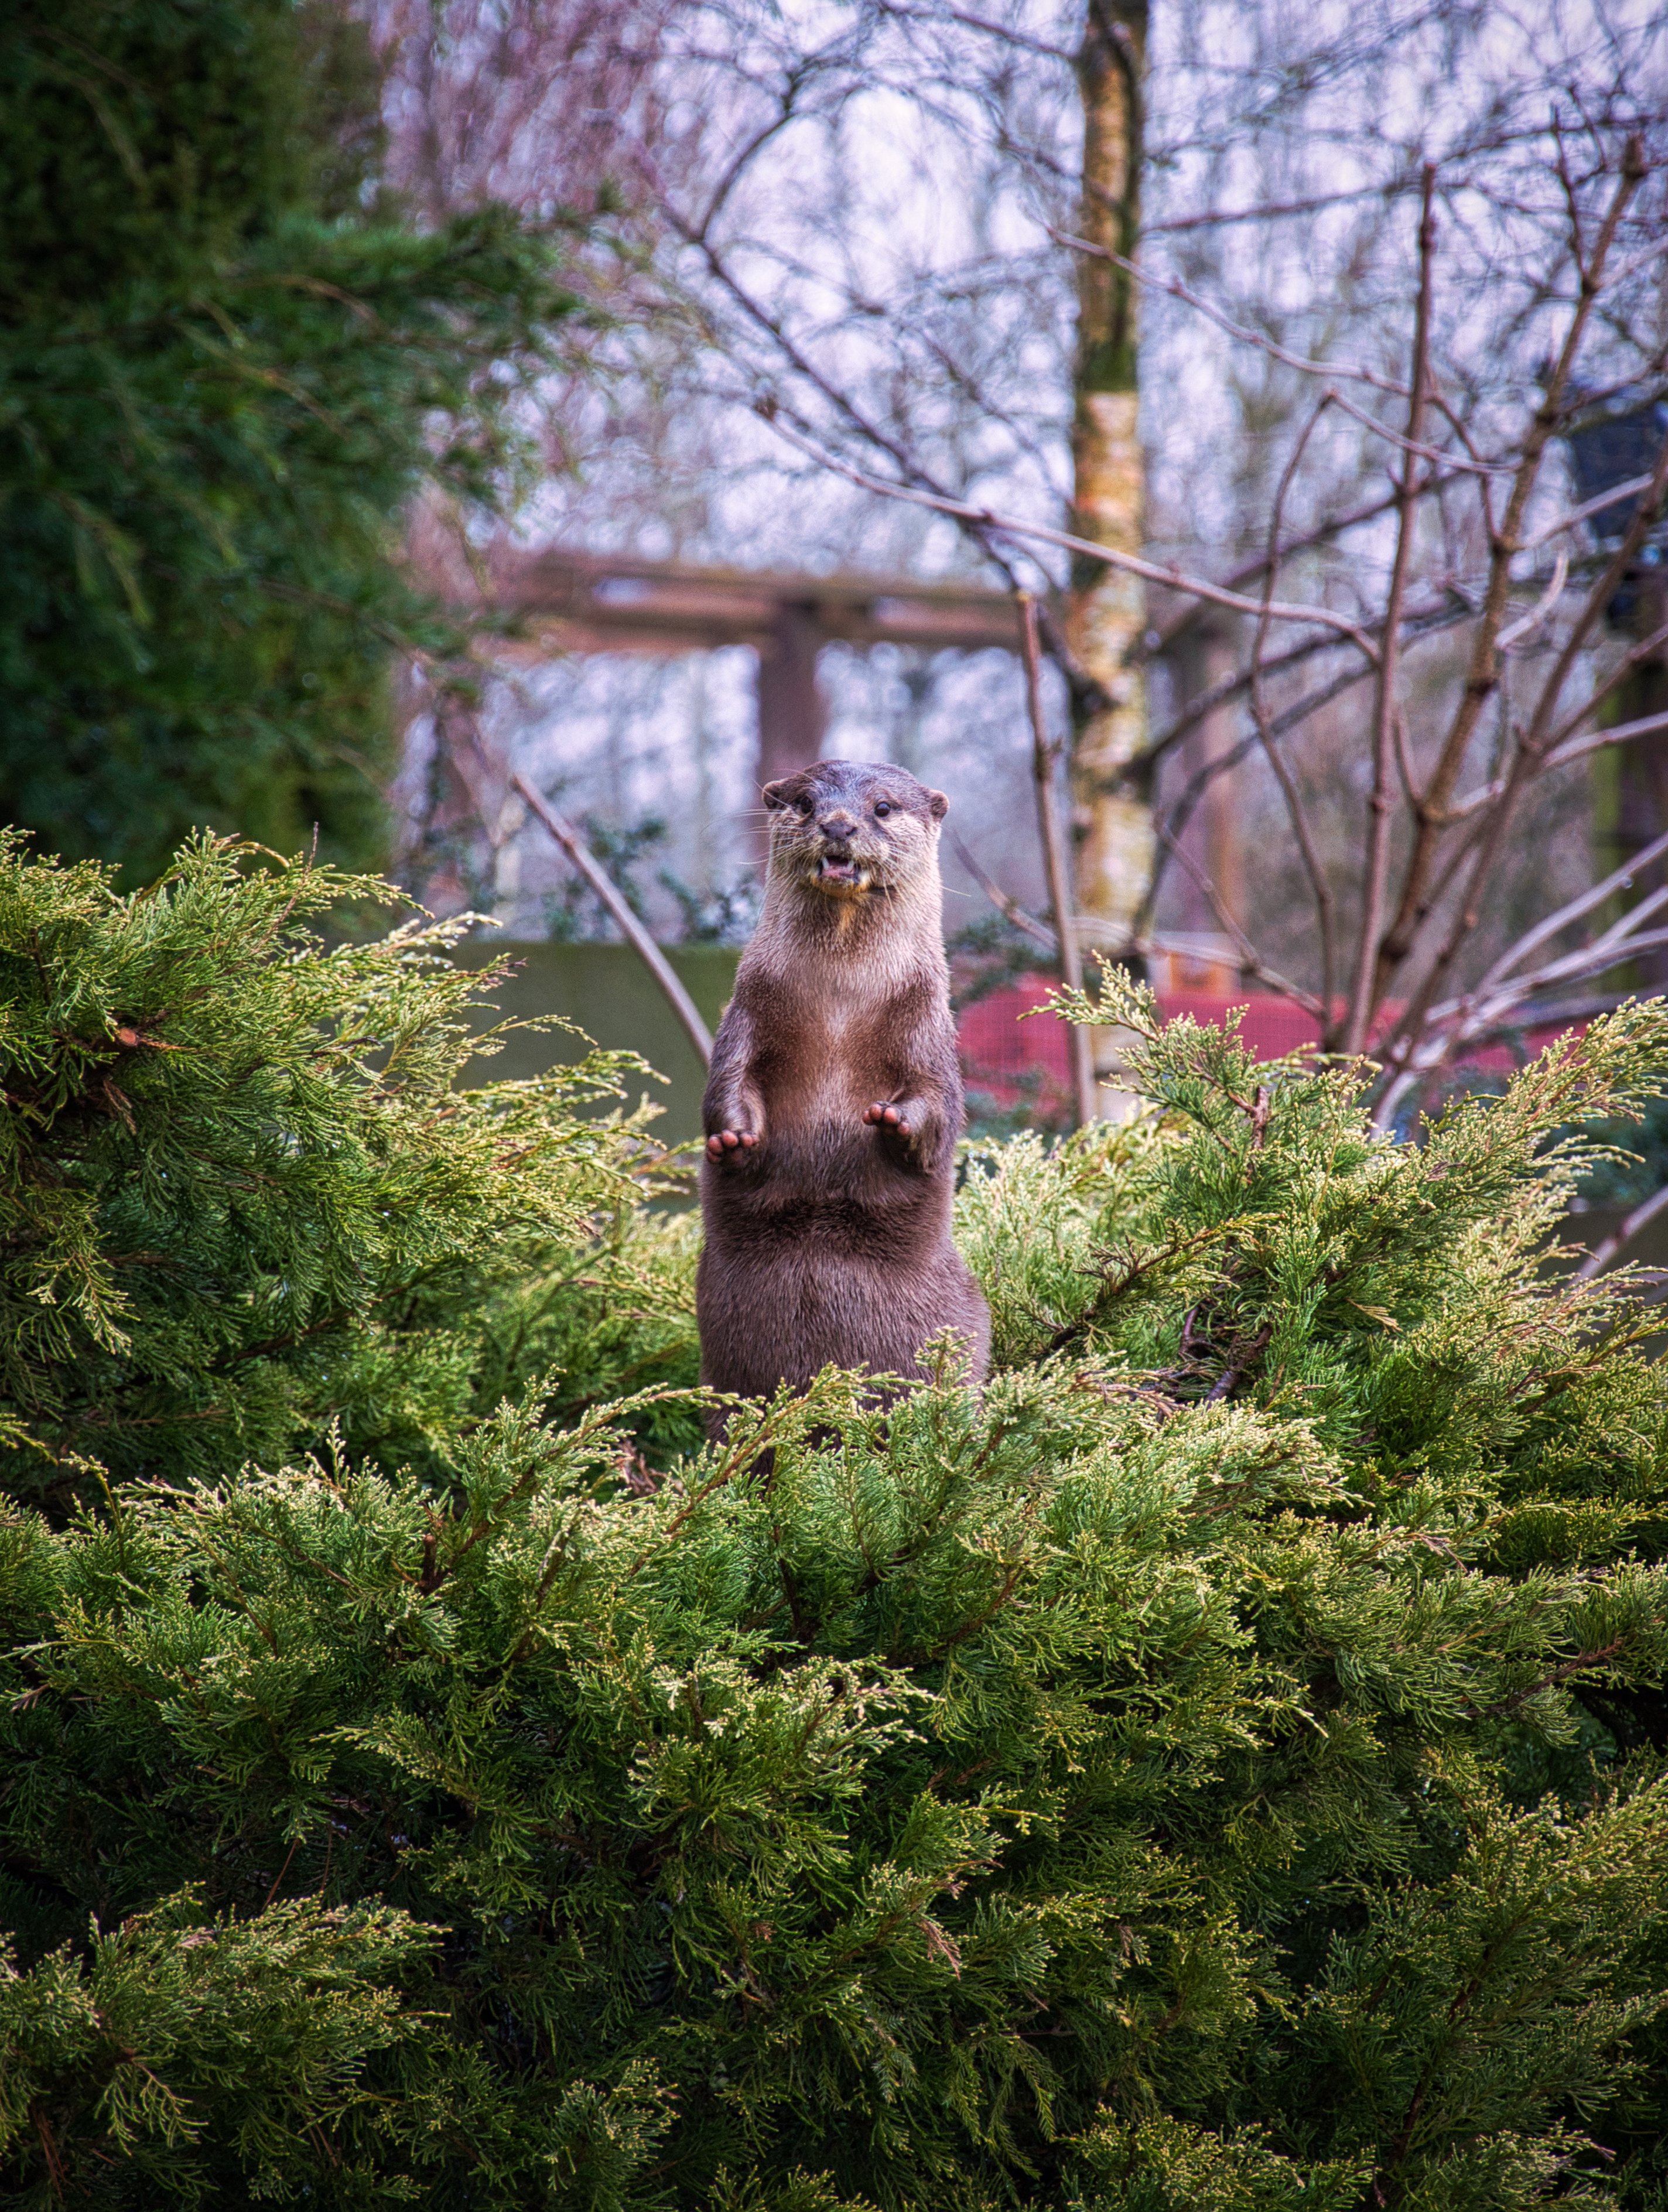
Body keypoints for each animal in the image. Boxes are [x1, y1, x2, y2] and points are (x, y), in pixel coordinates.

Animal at [696, 757, 990, 1416]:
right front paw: (733, 1136)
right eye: (806, 802)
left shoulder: (928, 1026)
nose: (837, 823)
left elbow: (939, 1106)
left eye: (882, 807)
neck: (840, 1003)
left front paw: (897, 1123)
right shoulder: (748, 1011)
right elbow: (729, 1078)